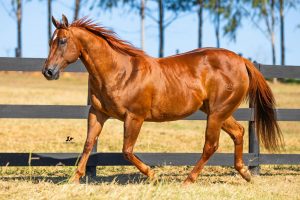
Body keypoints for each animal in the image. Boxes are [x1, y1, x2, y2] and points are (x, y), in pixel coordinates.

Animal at [42, 15, 284, 184]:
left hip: (217, 113)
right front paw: (73, 179)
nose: (48, 72)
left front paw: (154, 175)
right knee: (238, 132)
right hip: (218, 112)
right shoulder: (98, 113)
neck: (119, 72)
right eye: (51, 41)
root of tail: (242, 60)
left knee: (211, 145)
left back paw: (188, 180)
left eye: (62, 41)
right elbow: (88, 144)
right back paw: (245, 174)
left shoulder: (134, 117)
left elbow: (126, 151)